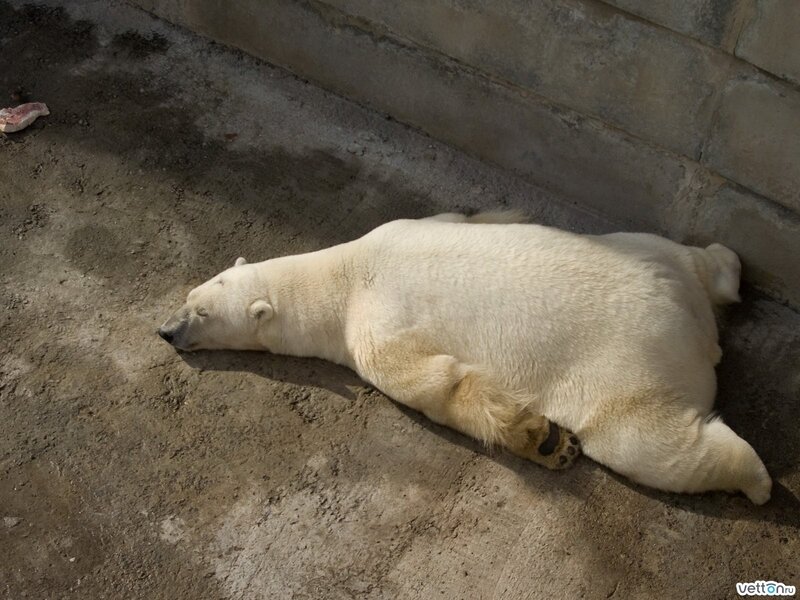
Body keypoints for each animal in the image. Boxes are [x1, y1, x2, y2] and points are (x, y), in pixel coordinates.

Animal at [158, 211, 772, 504]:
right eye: (190, 296)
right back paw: (727, 266)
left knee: (648, 442)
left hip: (625, 367)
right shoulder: (408, 226)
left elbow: (433, 380)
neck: (343, 273)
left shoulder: (372, 326)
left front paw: (541, 437)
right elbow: (458, 218)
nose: (166, 331)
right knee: (699, 257)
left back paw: (757, 480)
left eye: (202, 313)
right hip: (648, 250)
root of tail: (689, 321)